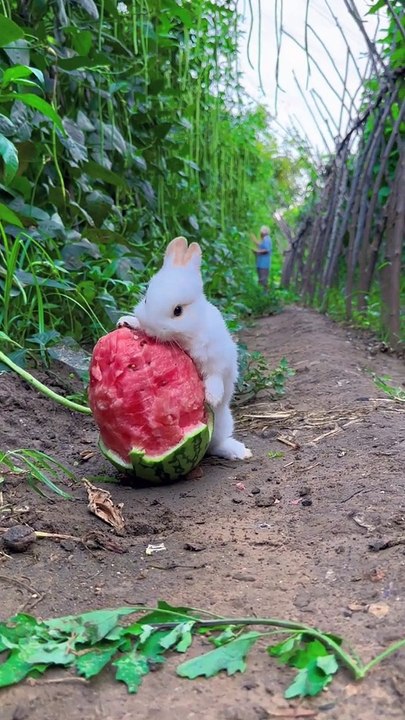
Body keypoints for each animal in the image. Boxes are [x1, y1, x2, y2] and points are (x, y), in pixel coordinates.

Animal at [117, 236, 252, 461]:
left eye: (178, 311)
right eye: (146, 300)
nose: (152, 328)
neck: (185, 337)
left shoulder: (217, 358)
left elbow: (215, 376)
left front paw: (212, 397)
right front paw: (126, 321)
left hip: (223, 423)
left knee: (217, 444)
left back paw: (238, 452)